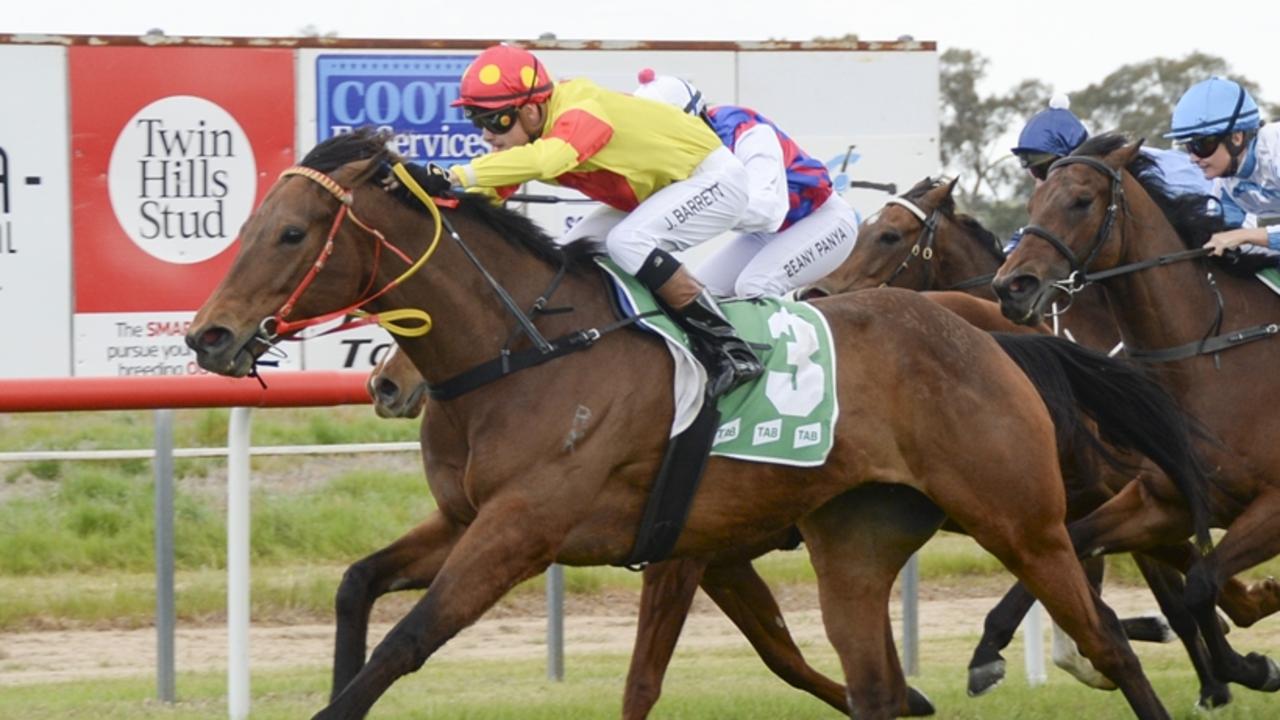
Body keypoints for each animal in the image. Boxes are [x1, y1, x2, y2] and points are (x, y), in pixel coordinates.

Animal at [185, 130, 1192, 717]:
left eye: (291, 234)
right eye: (253, 221)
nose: (209, 335)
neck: (531, 354)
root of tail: (992, 335)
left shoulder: (530, 532)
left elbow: (410, 643)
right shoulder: (477, 520)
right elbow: (357, 587)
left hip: (1021, 515)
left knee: (1108, 628)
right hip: (859, 539)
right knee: (873, 677)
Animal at [993, 131, 1280, 691]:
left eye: (1081, 201)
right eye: (1033, 204)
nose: (1011, 286)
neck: (1209, 359)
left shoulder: (1274, 506)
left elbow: (1199, 584)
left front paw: (1247, 667)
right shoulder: (1161, 501)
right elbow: (1077, 542)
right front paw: (988, 647)